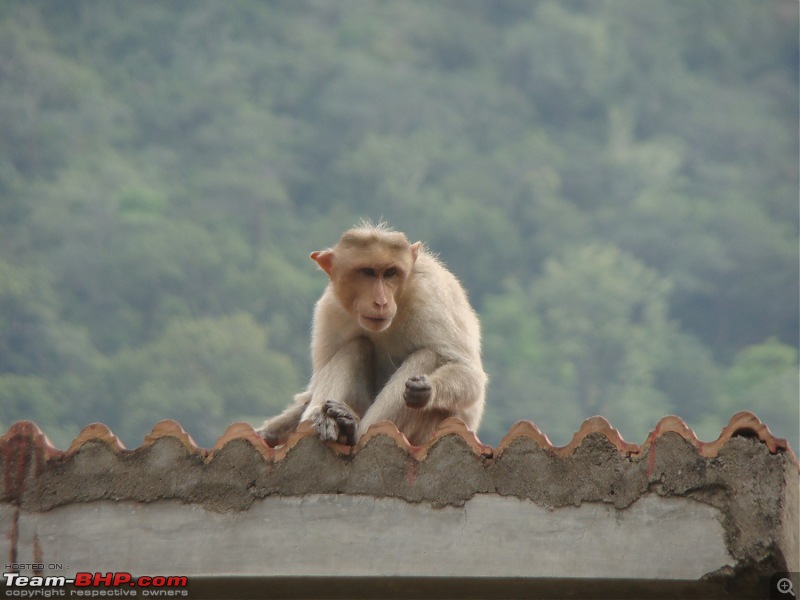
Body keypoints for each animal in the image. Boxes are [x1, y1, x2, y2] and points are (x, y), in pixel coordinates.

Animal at [260, 223, 488, 448]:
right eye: (367, 272)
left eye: (390, 273)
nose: (381, 302)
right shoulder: (330, 311)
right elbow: (309, 393)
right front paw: (270, 432)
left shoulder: (430, 297)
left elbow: (468, 373)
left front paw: (428, 389)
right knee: (356, 346)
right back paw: (330, 420)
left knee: (428, 356)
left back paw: (353, 428)